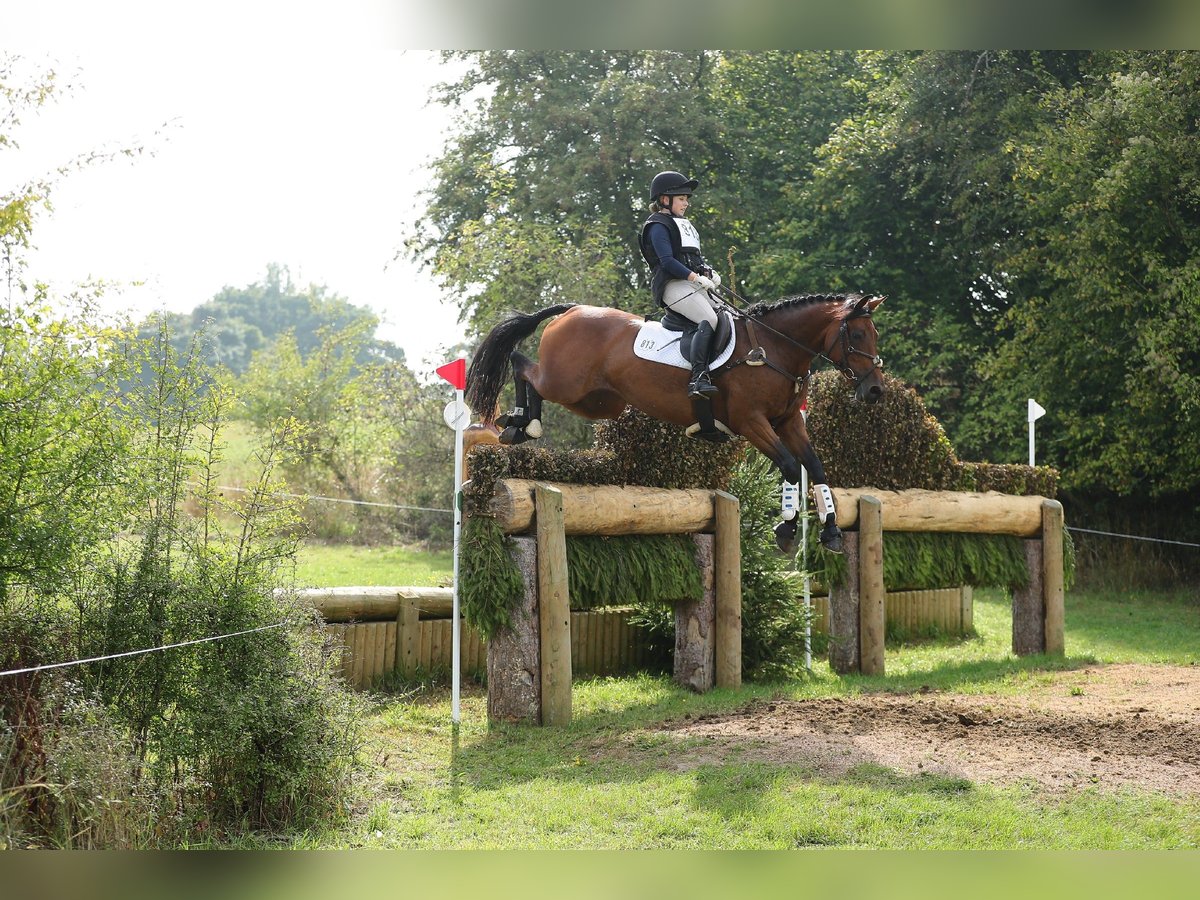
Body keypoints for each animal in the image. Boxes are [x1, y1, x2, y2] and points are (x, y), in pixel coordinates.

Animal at [463, 292, 888, 554]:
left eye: (874, 334)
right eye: (857, 334)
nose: (875, 392)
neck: (774, 348)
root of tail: (571, 311)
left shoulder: (788, 423)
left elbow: (815, 467)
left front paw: (831, 531)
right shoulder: (752, 422)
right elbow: (787, 465)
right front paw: (785, 530)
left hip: (597, 403)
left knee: (530, 371)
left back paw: (521, 424)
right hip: (565, 382)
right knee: (523, 365)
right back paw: (520, 423)